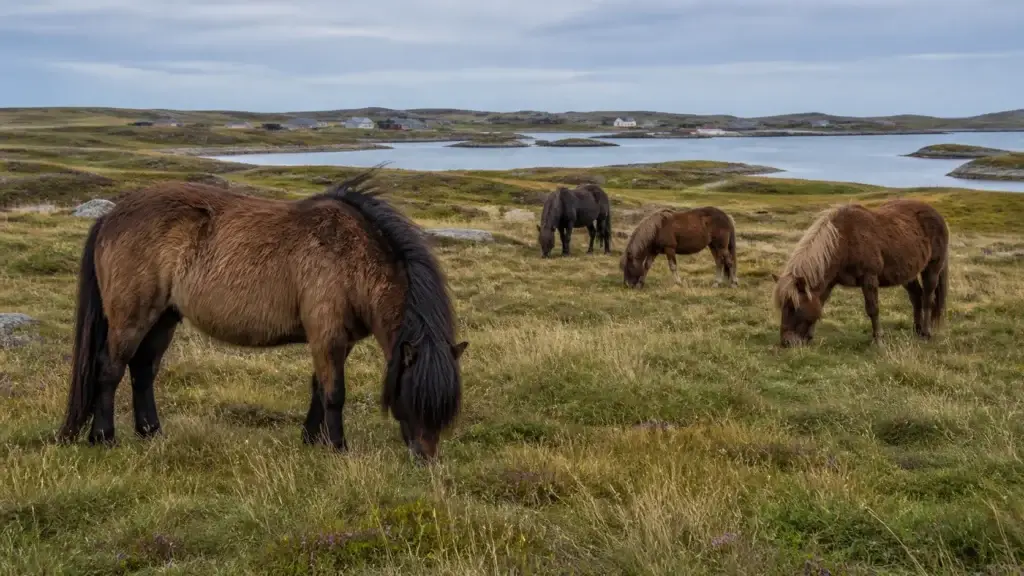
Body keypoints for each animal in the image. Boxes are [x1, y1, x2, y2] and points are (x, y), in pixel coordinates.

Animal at [56, 170, 468, 462]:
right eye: (414, 396)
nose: (426, 459)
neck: (351, 256)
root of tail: (110, 216)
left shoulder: (336, 340)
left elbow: (318, 388)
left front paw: (311, 440)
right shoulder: (328, 335)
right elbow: (335, 393)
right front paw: (338, 448)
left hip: (164, 318)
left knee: (143, 371)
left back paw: (151, 432)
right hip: (131, 318)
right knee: (110, 369)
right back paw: (103, 438)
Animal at [771, 198, 949, 348]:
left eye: (794, 307)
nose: (786, 342)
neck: (843, 241)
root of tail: (937, 215)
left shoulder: (869, 278)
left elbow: (873, 309)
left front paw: (878, 340)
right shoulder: (829, 282)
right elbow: (819, 303)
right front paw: (809, 337)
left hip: (932, 268)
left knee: (927, 298)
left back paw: (925, 333)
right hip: (907, 274)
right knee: (916, 297)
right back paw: (916, 330)